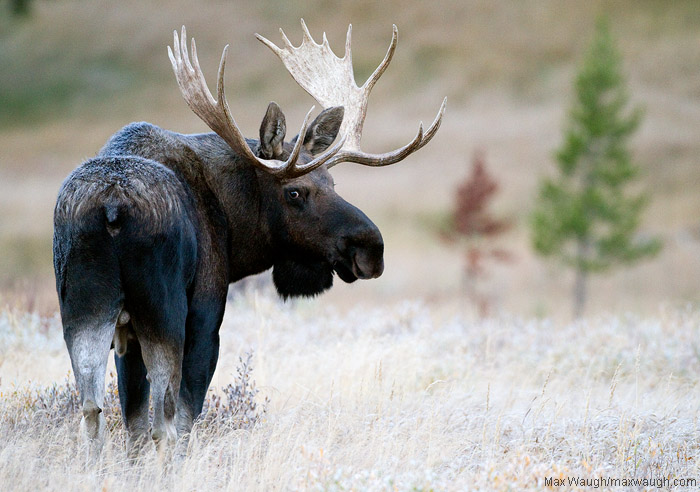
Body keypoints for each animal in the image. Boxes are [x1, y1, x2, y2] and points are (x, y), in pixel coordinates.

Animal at [53, 20, 445, 456]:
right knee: (164, 421)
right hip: (163, 311)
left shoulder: (125, 336)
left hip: (84, 309)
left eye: (332, 181)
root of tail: (111, 208)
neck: (232, 223)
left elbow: (132, 421)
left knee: (93, 410)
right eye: (295, 192)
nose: (371, 248)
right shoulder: (206, 311)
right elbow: (184, 416)